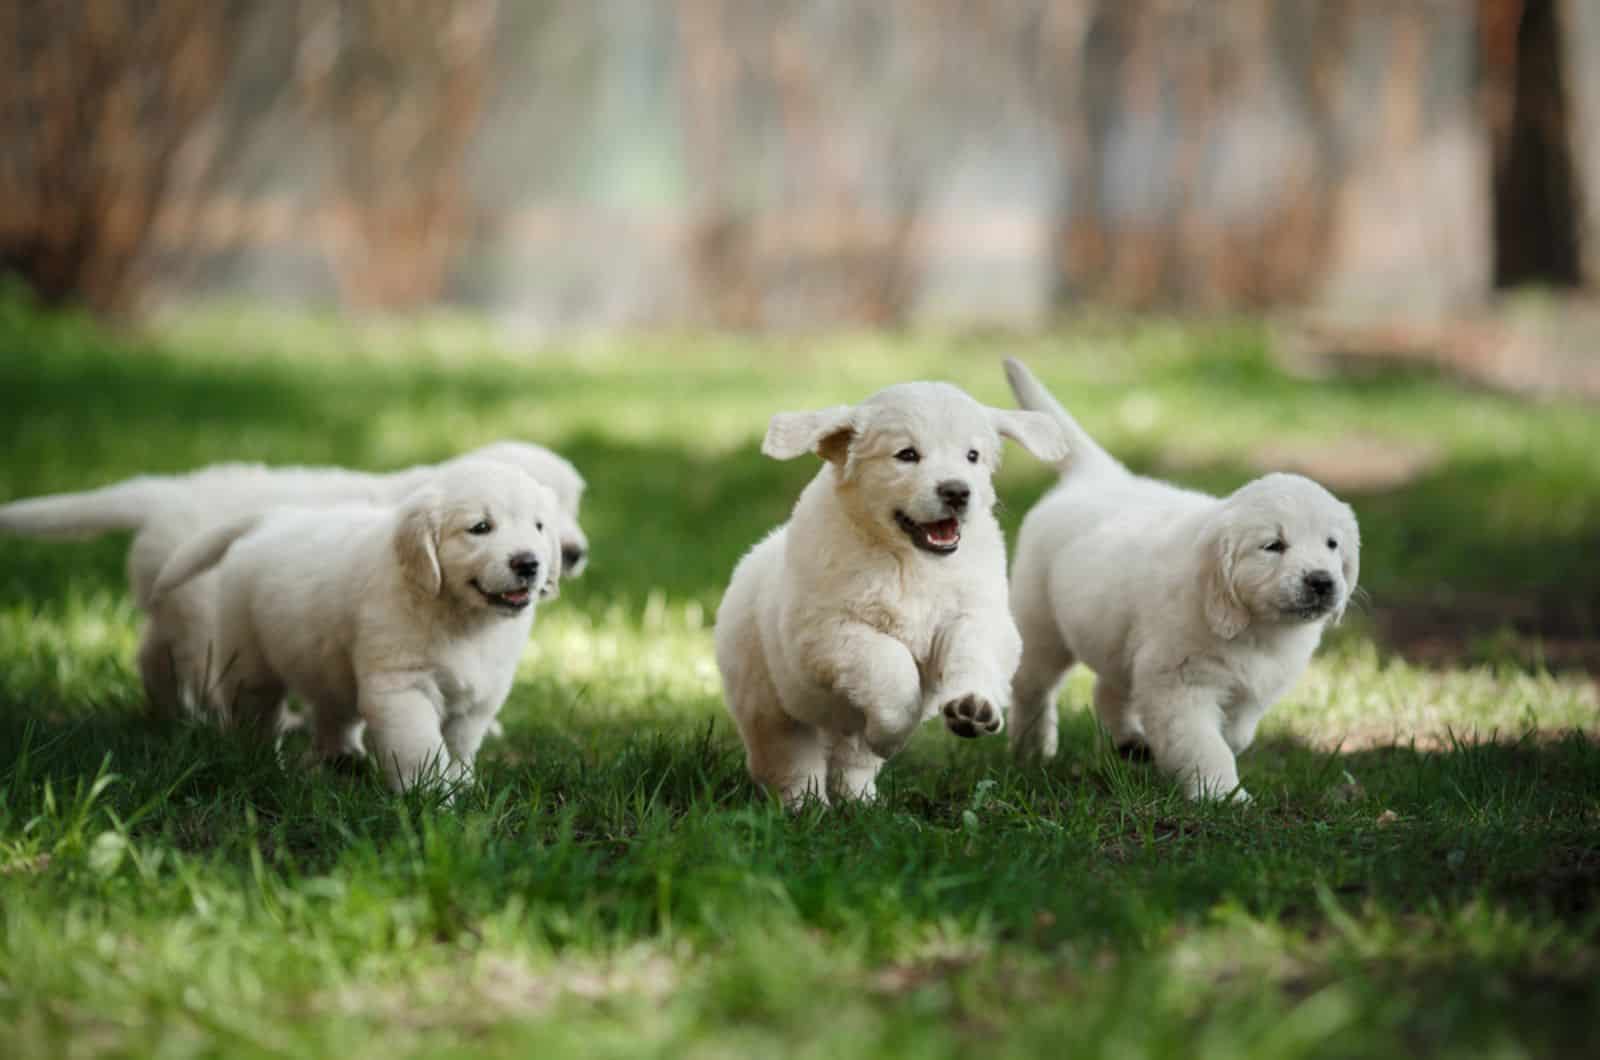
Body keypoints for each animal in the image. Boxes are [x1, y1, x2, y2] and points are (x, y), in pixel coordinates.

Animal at [0, 438, 588, 714]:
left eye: (573, 505)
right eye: (486, 525)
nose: (574, 553)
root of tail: (165, 493)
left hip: (173, 602)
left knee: (151, 653)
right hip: (204, 608)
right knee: (199, 666)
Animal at [150, 461, 563, 794]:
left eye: (539, 526)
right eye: (480, 528)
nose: (529, 563)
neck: (461, 618)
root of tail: (272, 520)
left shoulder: (481, 696)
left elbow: (460, 744)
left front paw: (462, 785)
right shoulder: (401, 686)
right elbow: (421, 745)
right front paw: (429, 797)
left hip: (328, 663)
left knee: (334, 712)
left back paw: (343, 759)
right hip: (249, 659)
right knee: (256, 712)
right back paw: (261, 761)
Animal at [710, 382, 1062, 807]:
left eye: (972, 456)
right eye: (906, 455)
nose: (957, 491)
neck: (909, 559)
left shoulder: (976, 614)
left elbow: (973, 651)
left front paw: (972, 707)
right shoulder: (826, 632)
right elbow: (890, 663)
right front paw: (892, 734)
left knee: (852, 760)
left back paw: (861, 800)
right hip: (768, 702)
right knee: (790, 759)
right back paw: (807, 806)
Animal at [998, 361, 1363, 800]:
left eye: (1332, 544)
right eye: (1273, 546)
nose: (1322, 581)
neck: (1254, 628)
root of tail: (1097, 476)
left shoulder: (1250, 689)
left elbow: (1236, 733)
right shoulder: (1180, 684)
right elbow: (1205, 744)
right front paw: (1222, 795)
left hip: (1116, 636)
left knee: (1108, 689)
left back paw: (1129, 743)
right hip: (1041, 625)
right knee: (1031, 688)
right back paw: (1031, 750)